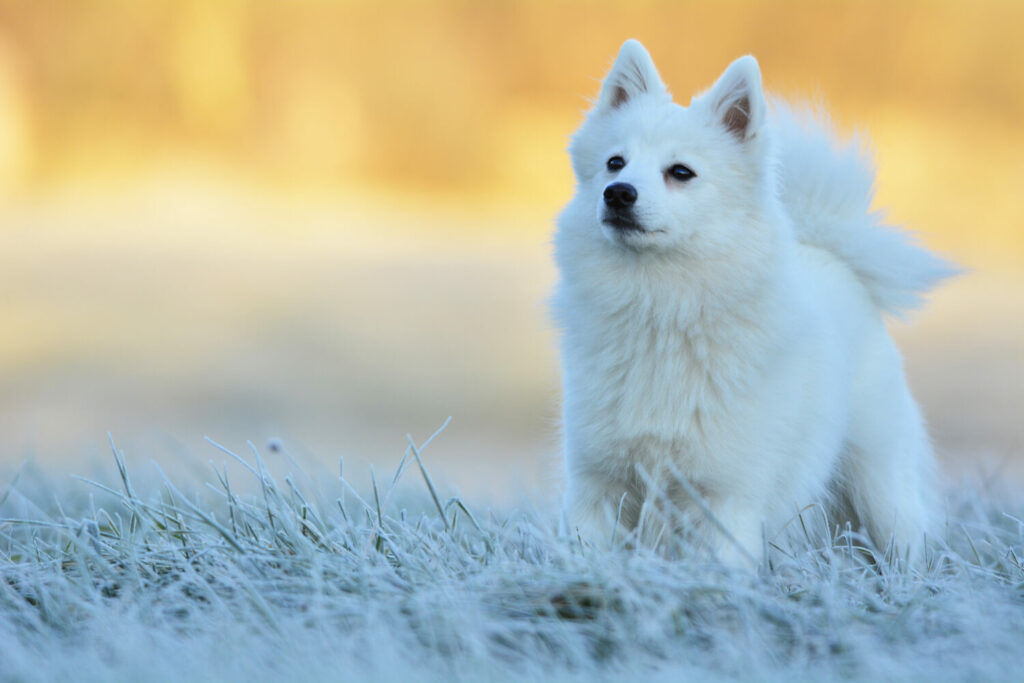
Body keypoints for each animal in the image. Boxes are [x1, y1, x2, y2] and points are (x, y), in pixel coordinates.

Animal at [552, 38, 950, 565]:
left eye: (681, 172)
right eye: (615, 162)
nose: (617, 194)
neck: (660, 307)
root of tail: (831, 253)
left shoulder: (725, 495)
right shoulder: (597, 486)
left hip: (881, 486)